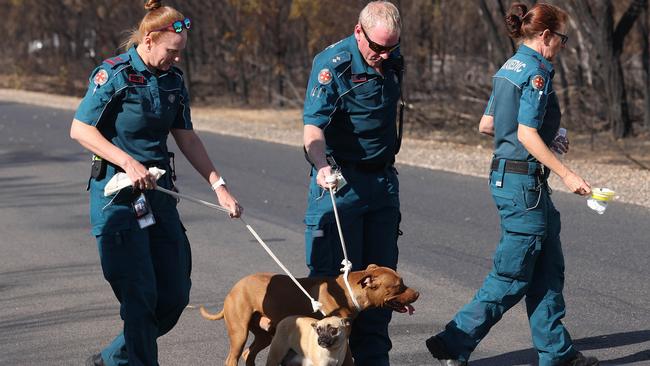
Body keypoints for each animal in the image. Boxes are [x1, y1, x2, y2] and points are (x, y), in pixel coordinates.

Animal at [199, 264, 420, 366]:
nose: (418, 293)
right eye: (399, 286)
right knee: (234, 357)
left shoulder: (343, 340)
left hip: (266, 335)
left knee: (249, 354)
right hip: (240, 333)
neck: (348, 292)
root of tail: (234, 287)